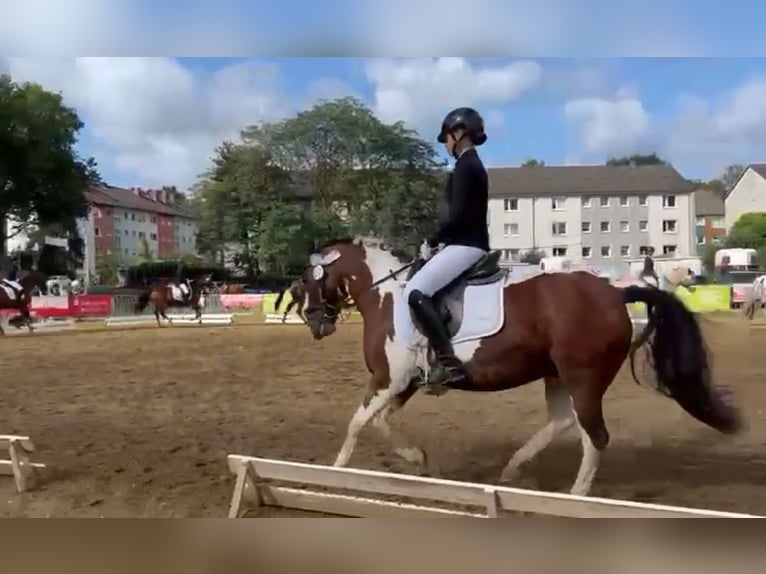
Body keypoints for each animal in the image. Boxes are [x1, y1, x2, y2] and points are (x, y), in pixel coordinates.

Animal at [302, 238, 744, 500]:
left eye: (308, 277)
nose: (313, 320)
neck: (386, 297)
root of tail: (614, 293)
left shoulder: (386, 380)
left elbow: (356, 423)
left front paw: (335, 474)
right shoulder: (402, 383)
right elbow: (379, 422)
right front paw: (418, 459)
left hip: (584, 377)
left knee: (594, 436)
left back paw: (573, 498)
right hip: (557, 375)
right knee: (563, 422)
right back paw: (513, 471)